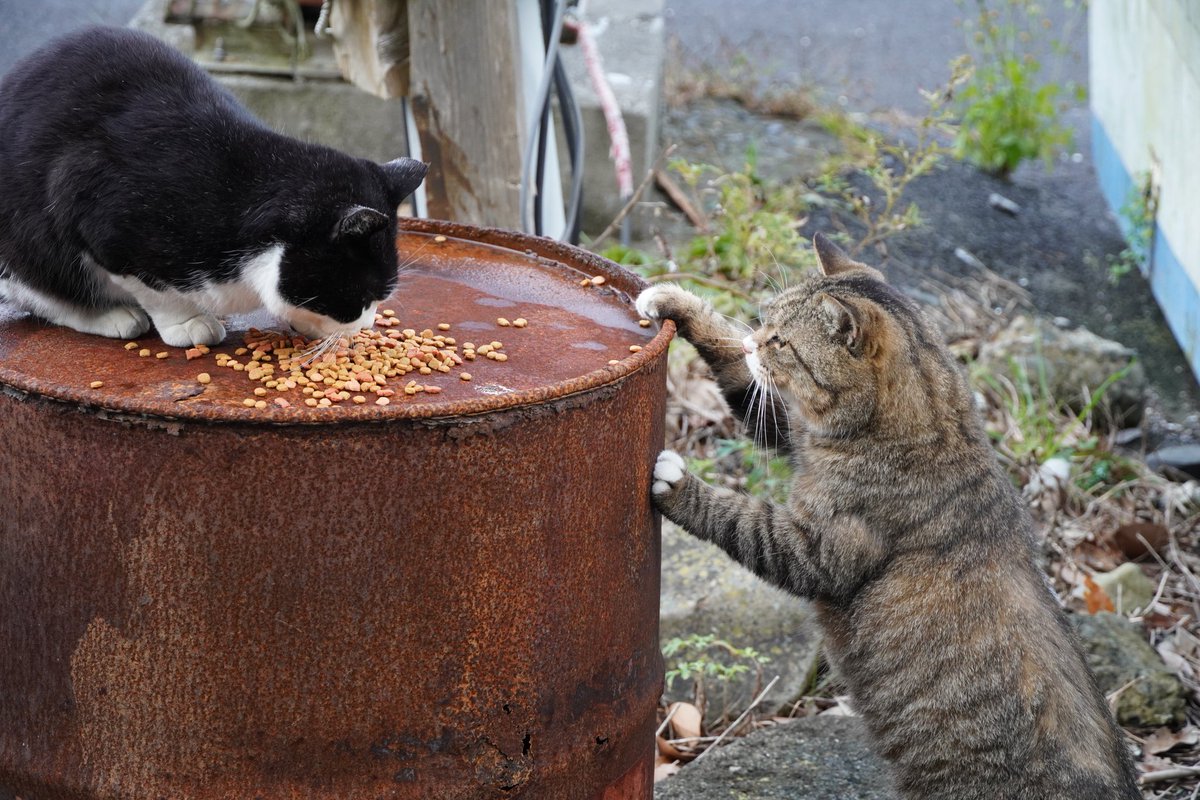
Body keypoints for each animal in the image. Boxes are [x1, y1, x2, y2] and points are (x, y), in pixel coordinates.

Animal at [0, 27, 427, 347]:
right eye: (362, 297)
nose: (367, 326)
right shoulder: (100, 215)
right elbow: (154, 289)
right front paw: (187, 322)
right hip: (26, 242)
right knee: (39, 290)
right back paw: (110, 315)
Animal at [633, 231, 1137, 800]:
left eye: (781, 341)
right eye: (764, 323)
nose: (752, 342)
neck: (931, 424)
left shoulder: (814, 551)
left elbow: (739, 517)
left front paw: (679, 484)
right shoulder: (791, 432)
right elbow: (729, 355)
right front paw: (676, 303)